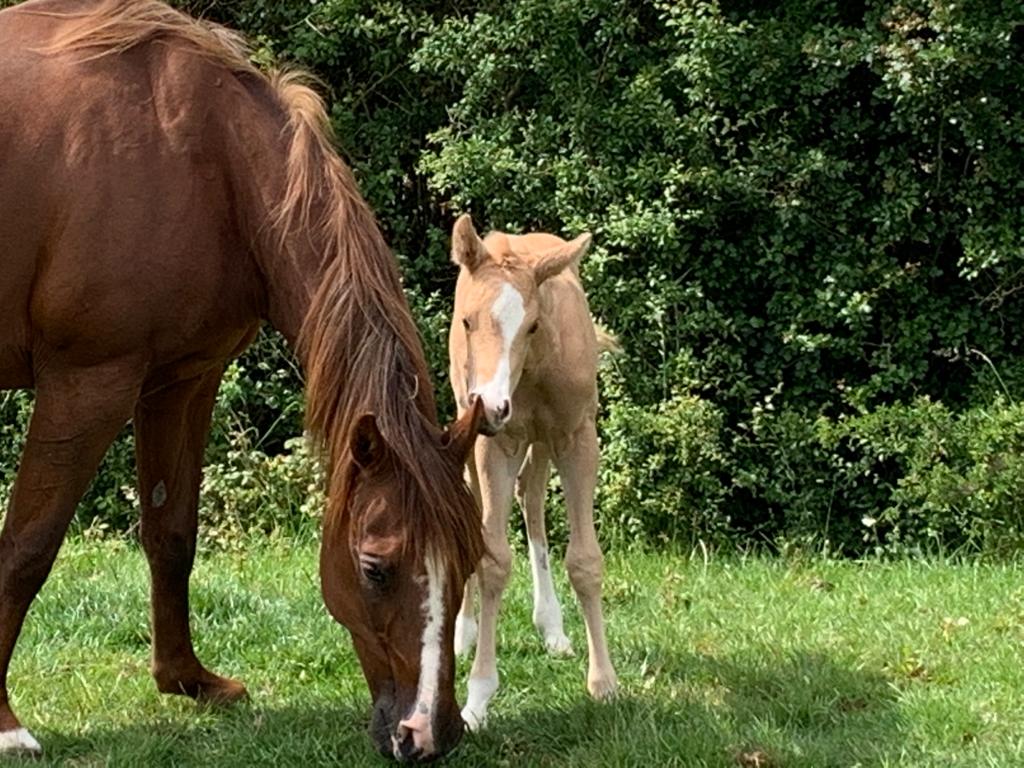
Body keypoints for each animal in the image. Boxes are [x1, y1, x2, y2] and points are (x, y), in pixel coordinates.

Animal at [0, 0, 485, 761]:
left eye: (467, 564)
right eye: (375, 568)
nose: (428, 734)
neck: (205, 157)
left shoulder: (180, 381)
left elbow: (172, 533)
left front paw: (187, 681)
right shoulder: (88, 384)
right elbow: (27, 547)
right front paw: (3, 722)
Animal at [446, 214, 618, 729]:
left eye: (533, 325)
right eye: (468, 320)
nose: (492, 406)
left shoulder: (577, 436)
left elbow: (585, 560)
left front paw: (604, 682)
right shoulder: (496, 442)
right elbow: (493, 560)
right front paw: (478, 697)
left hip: (541, 441)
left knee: (534, 500)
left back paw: (553, 627)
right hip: (470, 424)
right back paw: (462, 633)